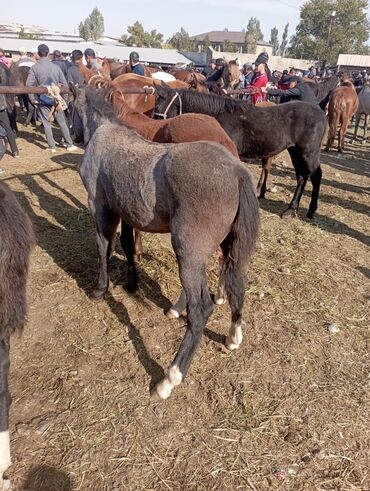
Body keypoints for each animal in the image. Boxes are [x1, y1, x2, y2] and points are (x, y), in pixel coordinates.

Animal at [155, 85, 328, 220]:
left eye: (161, 107)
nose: (156, 124)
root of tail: (321, 112)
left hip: (309, 152)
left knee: (316, 176)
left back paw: (311, 210)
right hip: (295, 151)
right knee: (301, 177)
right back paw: (290, 209)